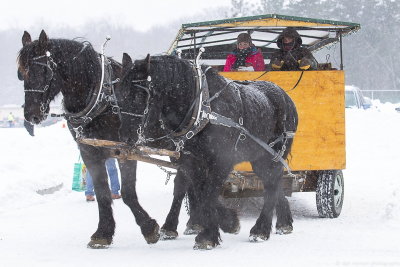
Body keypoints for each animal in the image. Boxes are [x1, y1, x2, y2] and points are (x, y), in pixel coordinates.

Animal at [16, 30, 161, 249]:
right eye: (21, 73)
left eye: (43, 71)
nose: (31, 115)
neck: (102, 98)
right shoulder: (89, 151)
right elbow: (102, 192)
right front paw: (103, 232)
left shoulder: (126, 149)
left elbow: (128, 192)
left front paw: (148, 227)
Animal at [115, 54, 296, 251]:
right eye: (119, 95)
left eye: (140, 96)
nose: (125, 138)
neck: (202, 110)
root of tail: (286, 96)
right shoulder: (190, 161)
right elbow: (200, 192)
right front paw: (223, 224)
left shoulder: (222, 161)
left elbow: (208, 193)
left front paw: (209, 234)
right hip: (259, 159)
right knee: (275, 183)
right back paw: (283, 222)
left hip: (271, 156)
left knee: (271, 185)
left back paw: (261, 230)